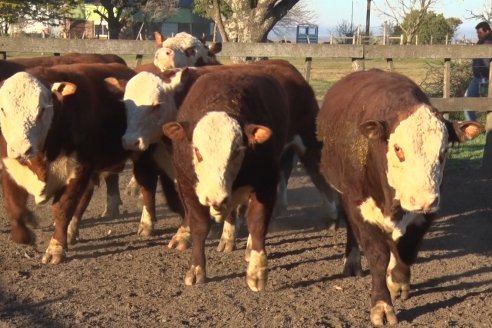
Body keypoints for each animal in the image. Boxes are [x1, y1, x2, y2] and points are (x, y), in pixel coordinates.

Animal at [0, 62, 135, 264]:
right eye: (3, 110)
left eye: (42, 110)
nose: (21, 149)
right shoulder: (9, 168)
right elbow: (14, 206)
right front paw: (23, 235)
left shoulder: (79, 170)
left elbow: (63, 209)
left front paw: (56, 248)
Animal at [163, 68, 290, 290]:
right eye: (197, 151)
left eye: (237, 151)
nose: (215, 198)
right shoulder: (187, 184)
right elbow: (199, 227)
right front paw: (196, 269)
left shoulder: (266, 183)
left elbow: (257, 223)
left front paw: (257, 270)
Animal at [316, 69, 480, 326]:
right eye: (398, 149)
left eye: (443, 151)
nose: (423, 200)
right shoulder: (358, 205)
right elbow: (377, 255)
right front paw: (382, 304)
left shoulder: (426, 213)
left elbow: (407, 249)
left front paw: (398, 281)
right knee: (353, 231)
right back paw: (352, 262)